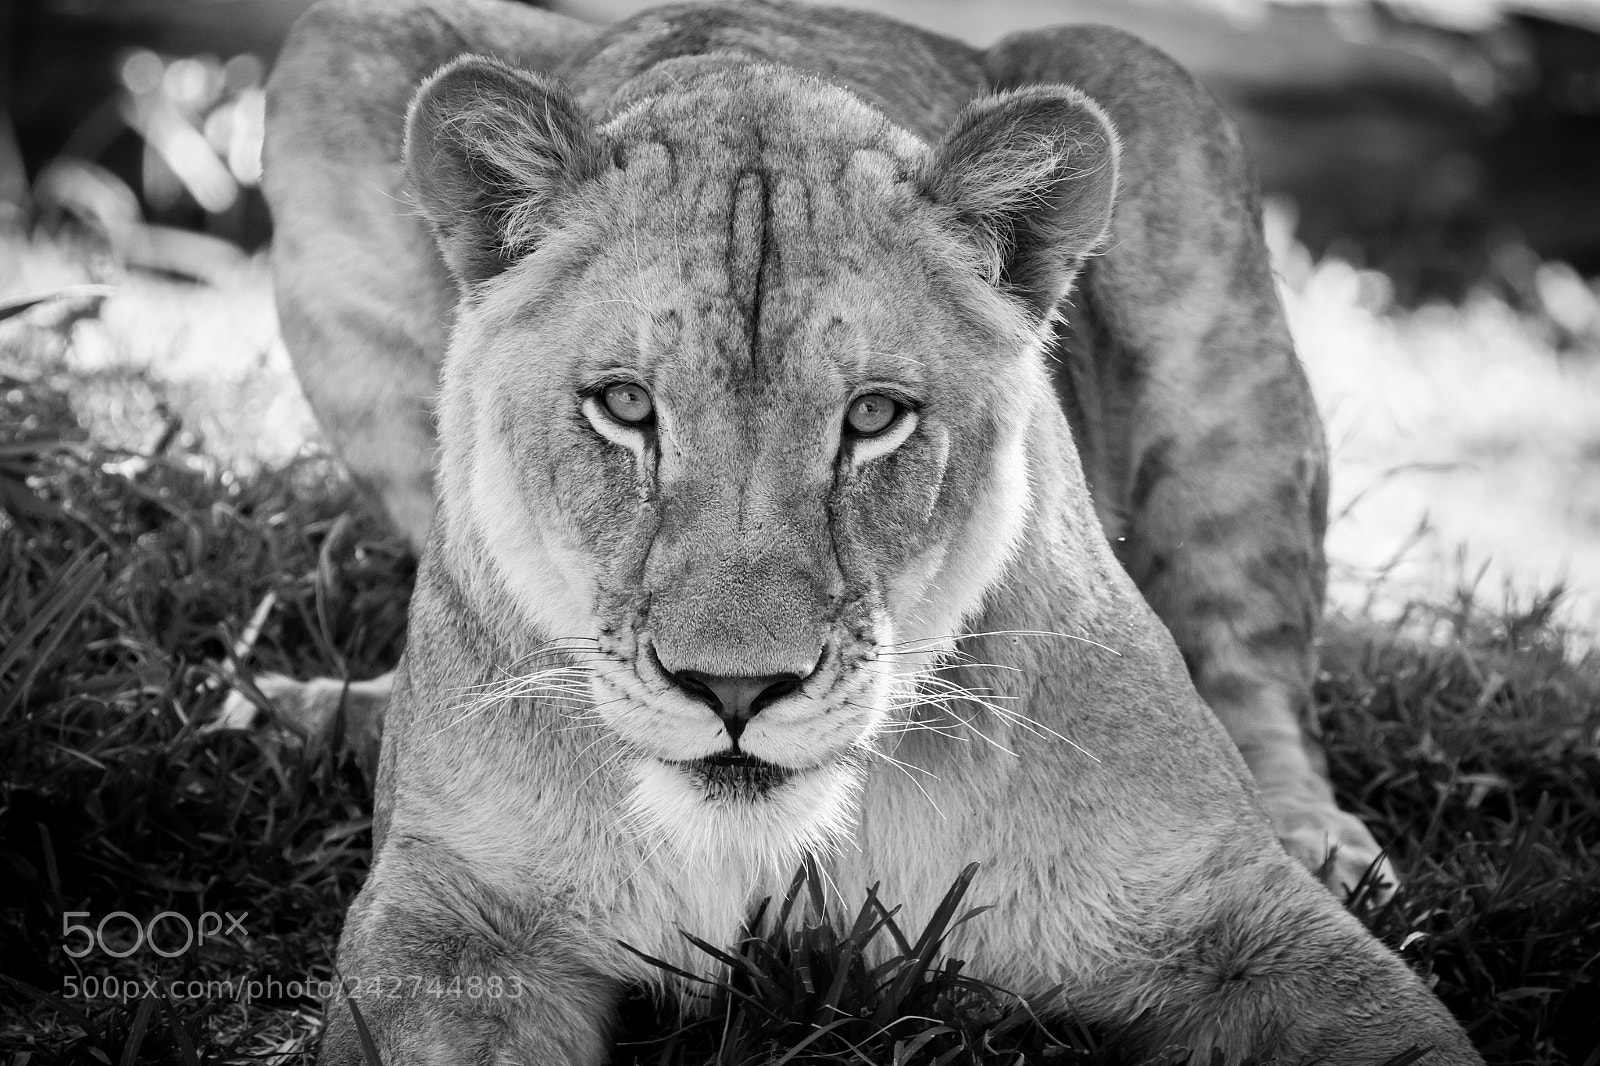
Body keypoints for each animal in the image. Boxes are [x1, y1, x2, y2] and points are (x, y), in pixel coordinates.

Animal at [248, 0, 1482, 1061]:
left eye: (875, 418)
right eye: (627, 405)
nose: (735, 690)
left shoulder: (1226, 905)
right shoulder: (456, 916)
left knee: (1261, 675)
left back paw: (1324, 837)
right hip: (327, 49)